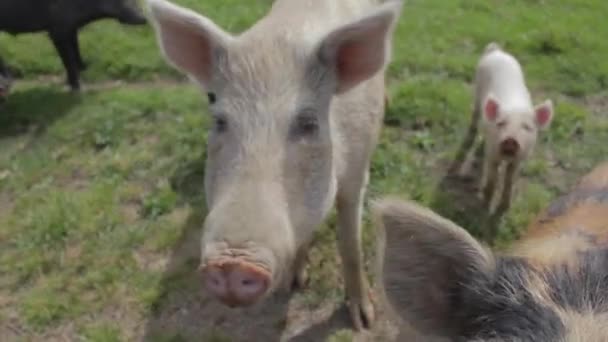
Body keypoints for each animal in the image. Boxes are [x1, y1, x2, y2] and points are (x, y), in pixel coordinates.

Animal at [0, 0, 147, 91]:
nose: (143, 18)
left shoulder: (71, 28)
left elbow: (75, 48)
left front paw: (84, 67)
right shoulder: (57, 30)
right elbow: (68, 59)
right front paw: (78, 88)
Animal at [146, 0, 404, 330]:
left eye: (308, 124)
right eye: (219, 121)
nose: (231, 263)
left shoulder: (358, 171)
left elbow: (350, 243)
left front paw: (364, 321)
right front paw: (293, 284)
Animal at [464, 42, 552, 214]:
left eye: (527, 127)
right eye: (501, 123)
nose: (510, 140)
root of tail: (497, 51)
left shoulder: (520, 159)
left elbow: (510, 181)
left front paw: (505, 207)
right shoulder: (492, 153)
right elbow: (492, 178)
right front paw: (485, 205)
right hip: (477, 91)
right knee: (474, 117)